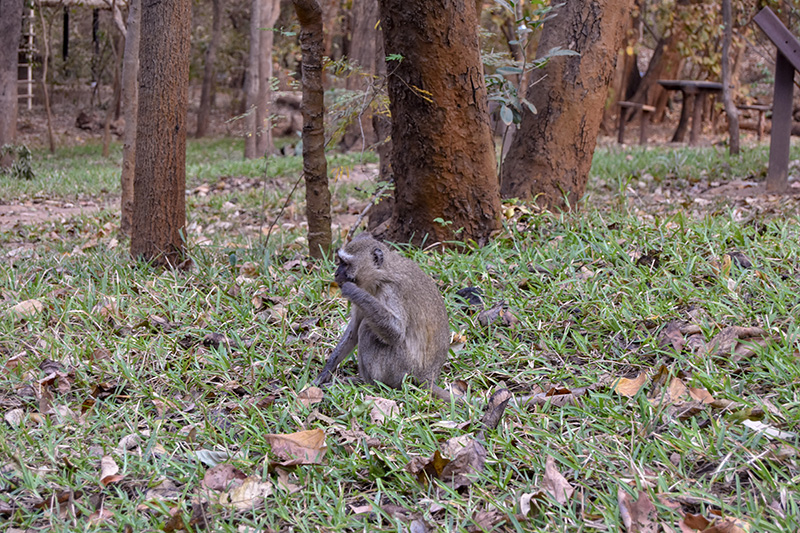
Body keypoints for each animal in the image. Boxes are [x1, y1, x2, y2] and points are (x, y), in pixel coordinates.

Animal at [310, 232, 454, 400]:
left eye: (346, 264)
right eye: (340, 261)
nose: (336, 274)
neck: (380, 276)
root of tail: (427, 377)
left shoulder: (392, 291)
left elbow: (396, 333)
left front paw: (353, 291)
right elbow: (354, 330)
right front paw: (326, 371)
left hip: (402, 369)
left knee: (367, 328)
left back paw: (371, 385)